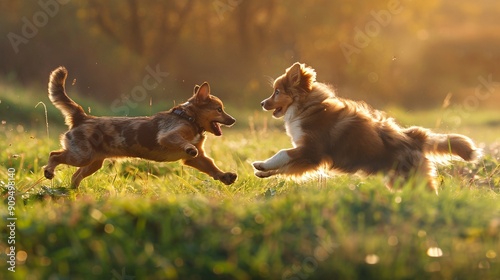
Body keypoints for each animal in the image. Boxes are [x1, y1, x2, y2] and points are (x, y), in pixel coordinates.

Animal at [44, 66, 236, 188]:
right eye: (219, 109)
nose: (233, 120)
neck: (190, 118)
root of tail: (82, 117)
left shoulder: (197, 159)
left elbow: (212, 167)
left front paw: (225, 176)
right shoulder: (168, 137)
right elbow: (184, 143)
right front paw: (189, 147)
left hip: (93, 162)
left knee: (75, 176)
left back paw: (73, 193)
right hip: (81, 156)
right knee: (54, 155)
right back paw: (49, 172)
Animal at [252, 62, 482, 191]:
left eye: (277, 92)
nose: (262, 103)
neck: (307, 106)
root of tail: (413, 137)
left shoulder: (312, 150)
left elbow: (282, 154)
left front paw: (263, 165)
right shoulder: (308, 158)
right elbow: (287, 167)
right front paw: (263, 170)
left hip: (408, 176)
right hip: (398, 179)